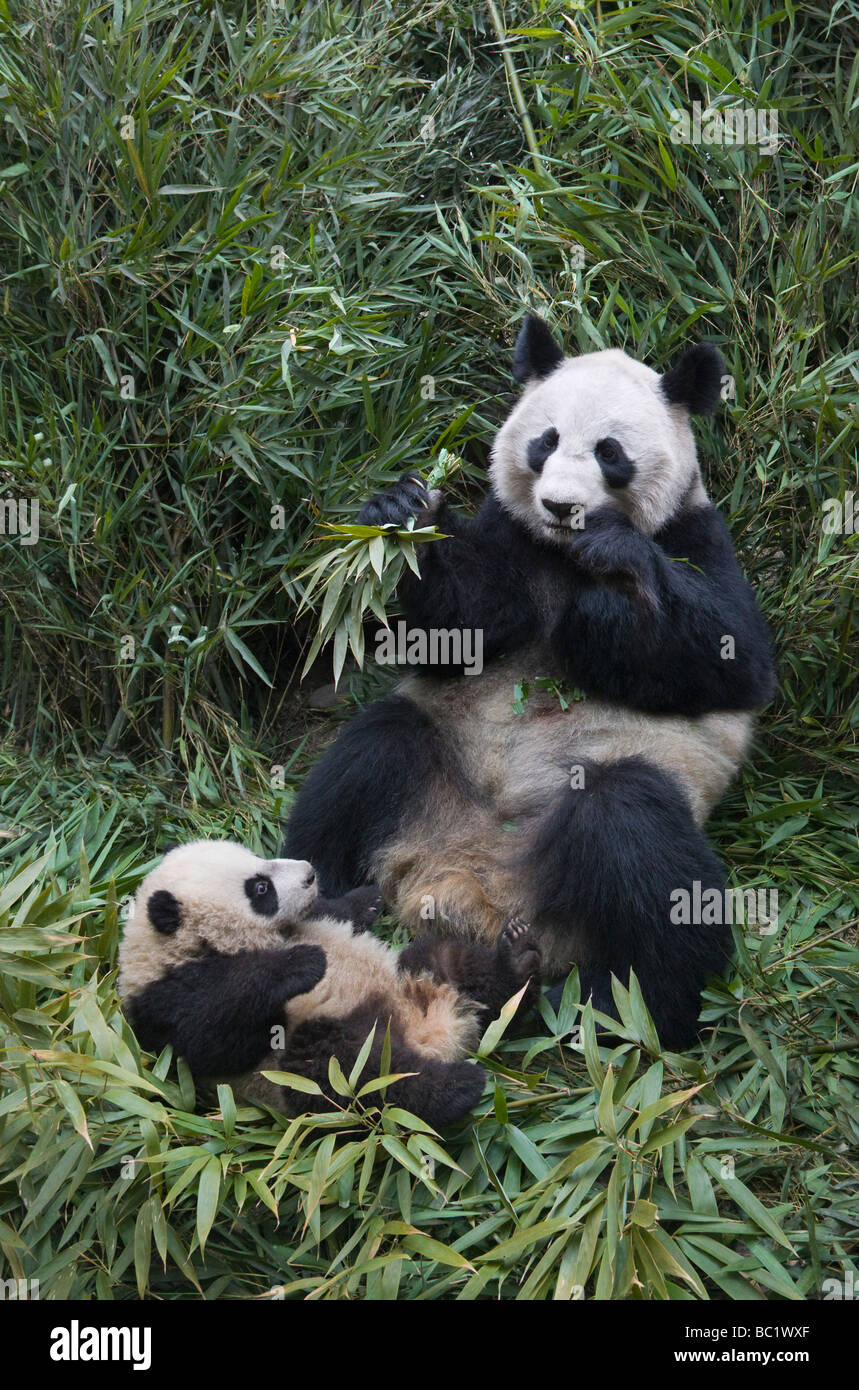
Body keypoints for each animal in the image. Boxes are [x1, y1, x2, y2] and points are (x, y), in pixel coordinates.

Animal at [118, 840, 542, 1129]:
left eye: (258, 859)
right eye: (260, 887)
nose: (309, 873)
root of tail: (434, 1033)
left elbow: (336, 912)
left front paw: (366, 898)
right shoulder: (166, 999)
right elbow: (216, 1039)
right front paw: (303, 963)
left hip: (414, 971)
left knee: (451, 960)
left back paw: (518, 960)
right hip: (308, 1054)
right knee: (361, 1077)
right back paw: (457, 1087)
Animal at [284, 314, 777, 1049]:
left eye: (609, 452)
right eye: (545, 442)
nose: (560, 506)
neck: (561, 555)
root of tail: (469, 890)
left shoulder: (698, 536)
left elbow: (733, 662)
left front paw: (611, 586)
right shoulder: (509, 538)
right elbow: (459, 624)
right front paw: (402, 512)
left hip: (587, 846)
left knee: (641, 843)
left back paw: (620, 1009)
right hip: (433, 777)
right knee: (370, 754)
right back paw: (320, 907)